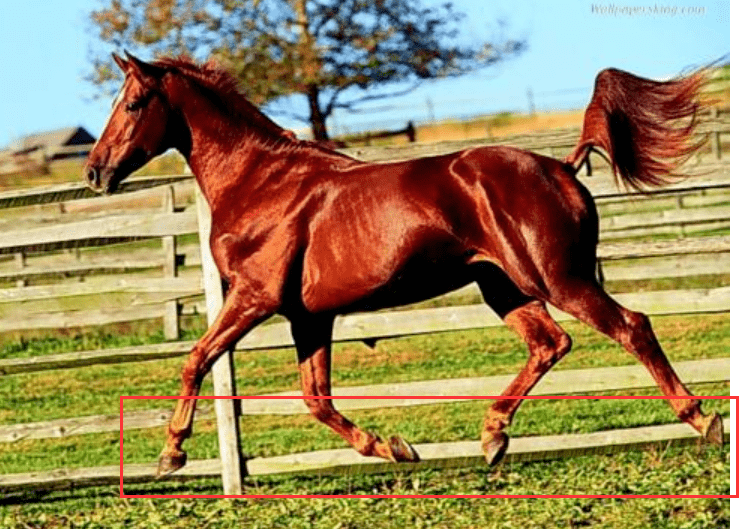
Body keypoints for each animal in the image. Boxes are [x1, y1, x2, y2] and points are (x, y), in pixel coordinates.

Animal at [84, 52, 720, 474]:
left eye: (134, 103)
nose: (95, 172)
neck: (259, 183)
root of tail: (562, 166)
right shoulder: (308, 316)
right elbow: (316, 398)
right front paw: (393, 448)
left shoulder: (254, 298)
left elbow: (195, 360)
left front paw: (171, 452)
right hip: (505, 288)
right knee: (550, 344)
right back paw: (492, 436)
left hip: (560, 279)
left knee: (631, 326)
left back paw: (701, 418)